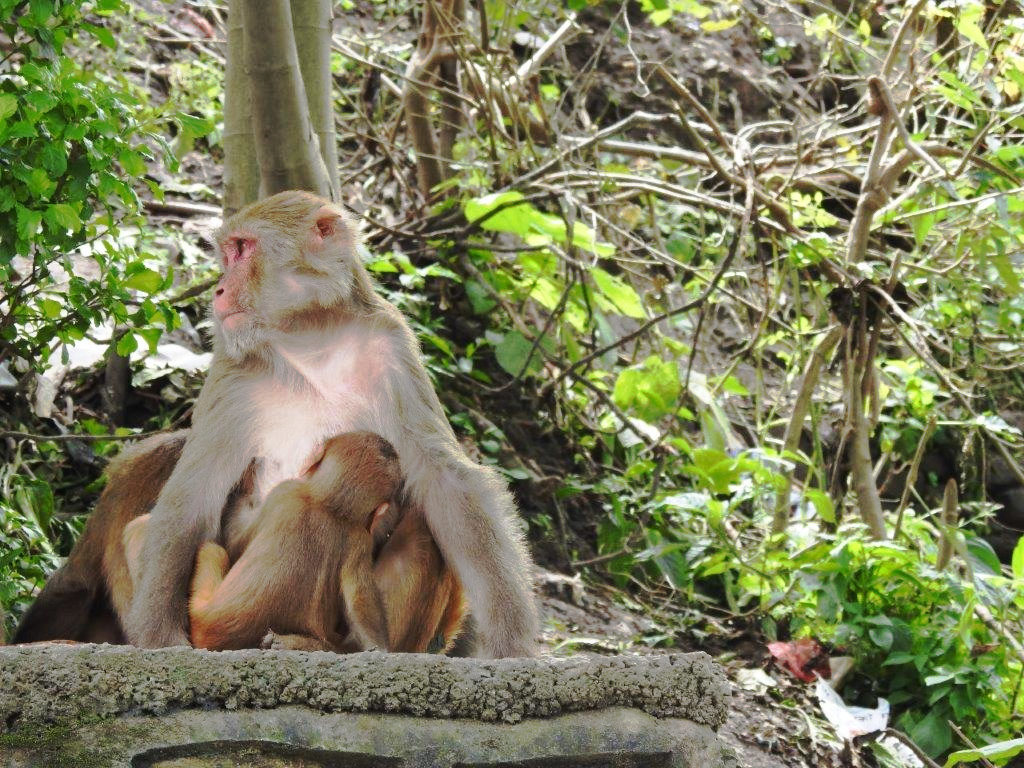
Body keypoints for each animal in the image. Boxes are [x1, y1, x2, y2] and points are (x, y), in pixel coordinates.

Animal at [121, 430, 401, 651]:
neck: (331, 506)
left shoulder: (284, 492)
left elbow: (235, 540)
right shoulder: (359, 540)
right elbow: (360, 602)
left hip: (200, 615)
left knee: (207, 548)